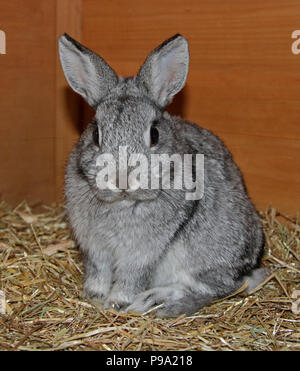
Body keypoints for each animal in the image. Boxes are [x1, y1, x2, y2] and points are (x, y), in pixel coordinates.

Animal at [58, 33, 264, 318]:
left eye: (154, 134)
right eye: (96, 134)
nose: (122, 179)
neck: (122, 204)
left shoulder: (141, 253)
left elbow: (131, 277)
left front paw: (117, 303)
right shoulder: (95, 248)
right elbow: (99, 271)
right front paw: (94, 296)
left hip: (205, 255)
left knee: (213, 288)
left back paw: (155, 302)